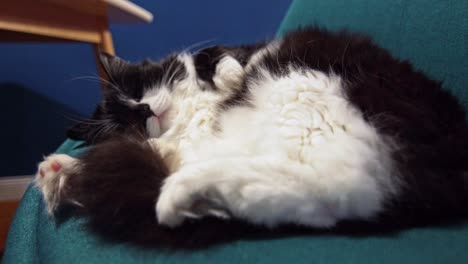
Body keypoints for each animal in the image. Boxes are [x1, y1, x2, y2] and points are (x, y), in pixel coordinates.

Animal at [34, 27, 468, 249]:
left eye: (137, 90)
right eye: (124, 120)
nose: (144, 111)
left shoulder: (233, 55)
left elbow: (220, 57)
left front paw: (227, 76)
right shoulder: (180, 143)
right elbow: (153, 148)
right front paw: (60, 168)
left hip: (303, 87)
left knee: (337, 185)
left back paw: (177, 198)